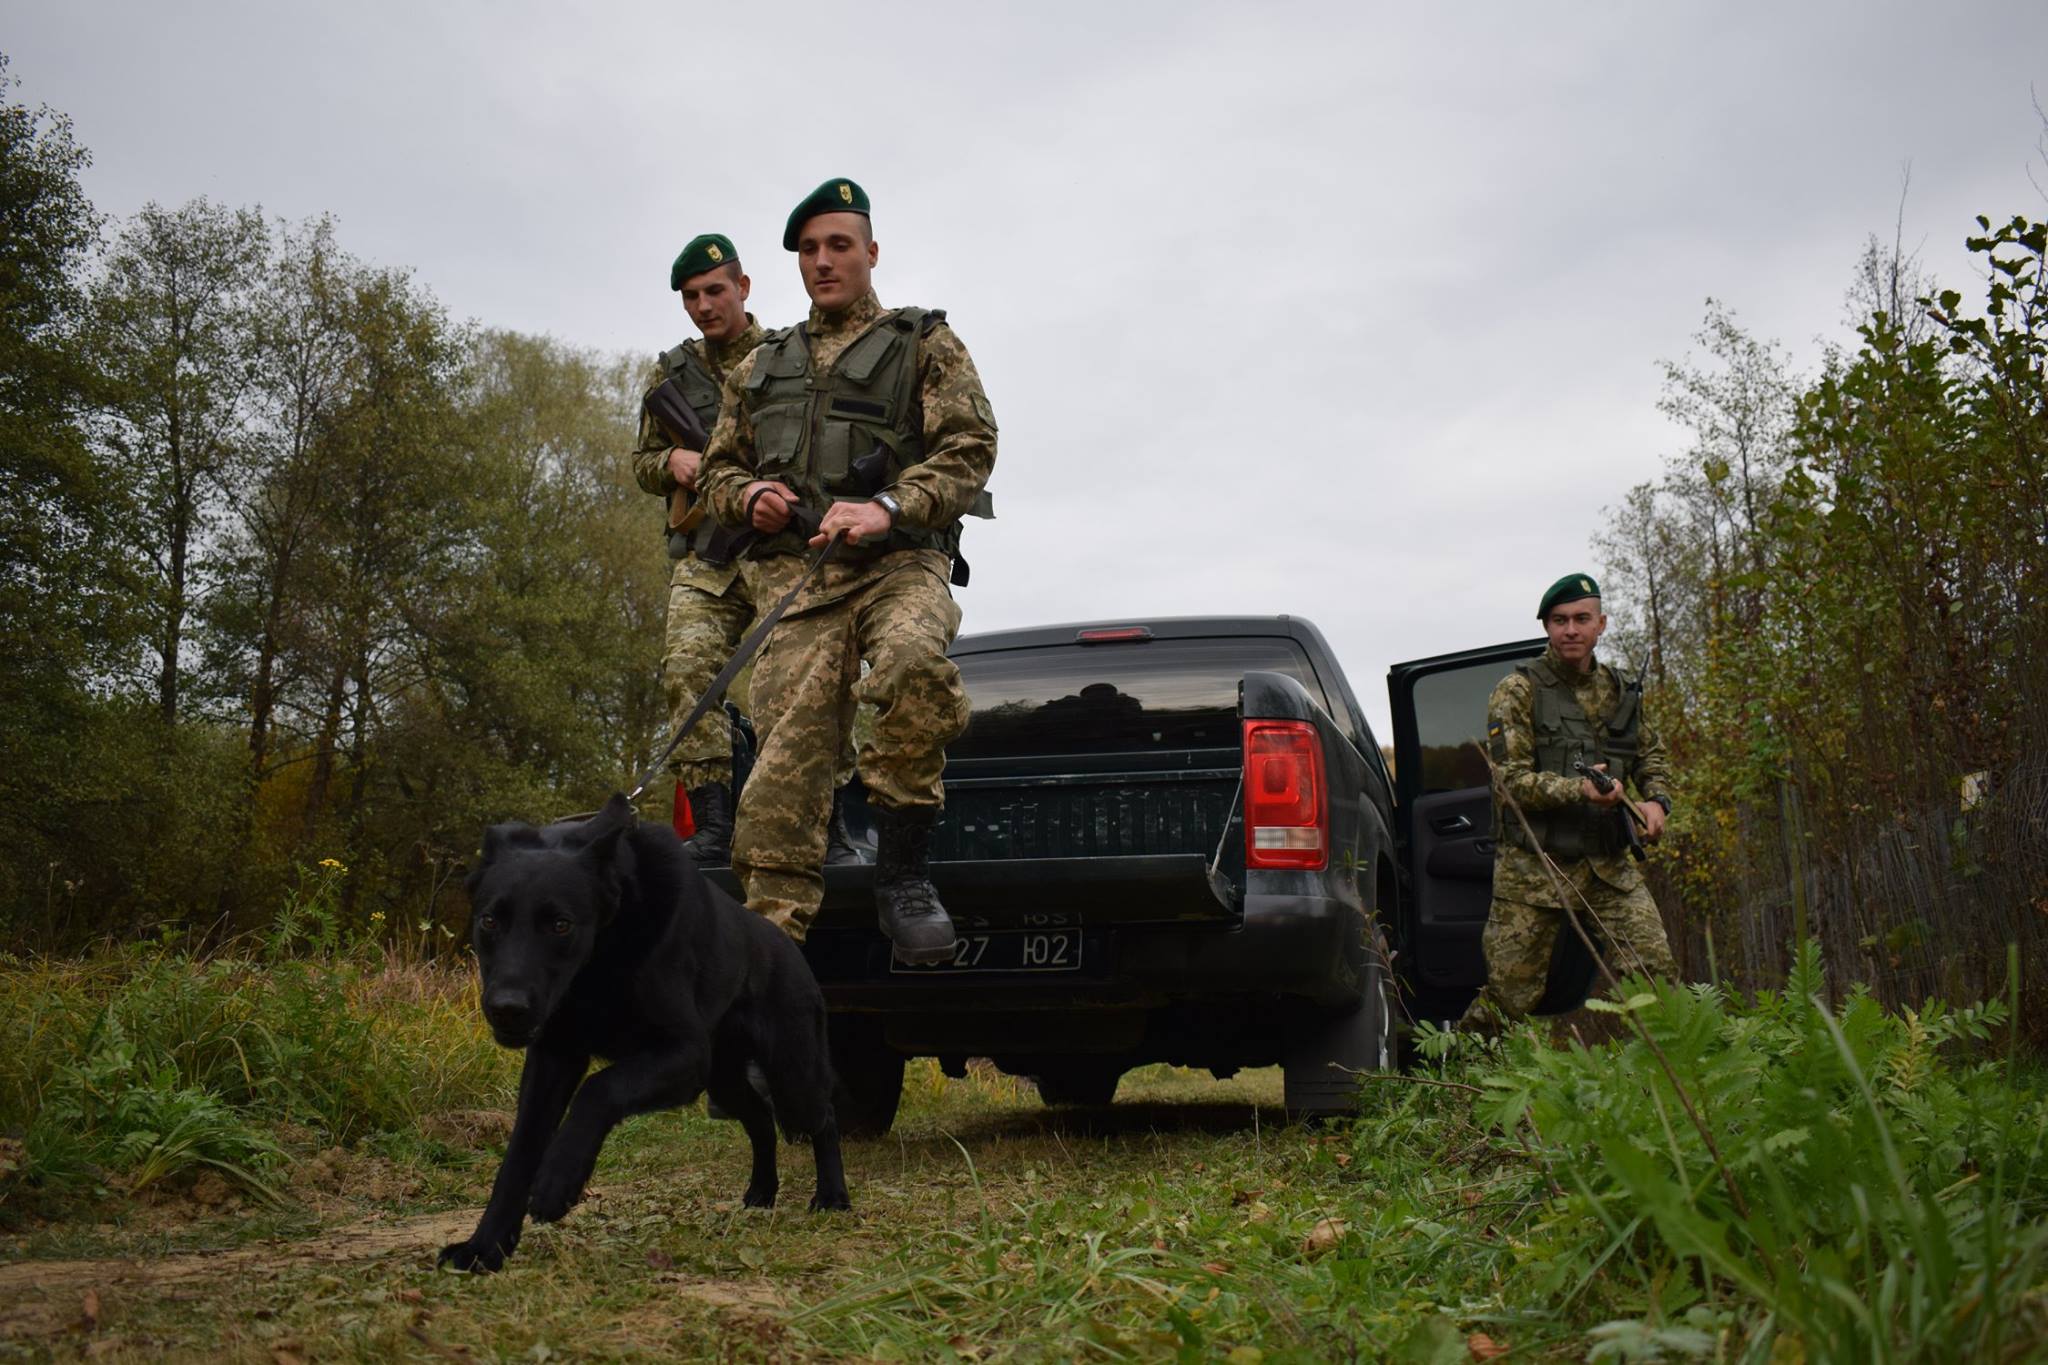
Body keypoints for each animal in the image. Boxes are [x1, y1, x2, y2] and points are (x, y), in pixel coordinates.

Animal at [440, 789, 847, 1268]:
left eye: (561, 925)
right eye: (489, 921)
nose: (507, 1009)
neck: (601, 957)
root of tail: (787, 943)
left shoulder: (681, 1054)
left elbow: (598, 1089)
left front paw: (558, 1181)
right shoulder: (553, 1059)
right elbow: (520, 1152)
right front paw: (484, 1248)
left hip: (792, 1076)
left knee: (824, 1118)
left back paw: (833, 1197)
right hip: (725, 1081)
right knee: (761, 1121)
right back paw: (761, 1193)